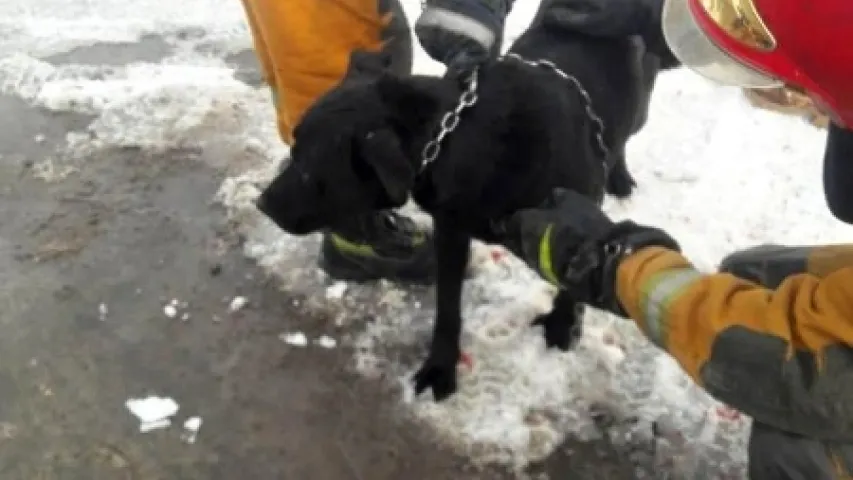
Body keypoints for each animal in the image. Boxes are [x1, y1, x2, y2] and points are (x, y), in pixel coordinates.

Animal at [256, 13, 668, 400]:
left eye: (311, 168)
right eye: (293, 148)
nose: (261, 204)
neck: (458, 139)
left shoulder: (577, 211)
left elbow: (573, 271)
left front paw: (562, 325)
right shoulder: (451, 231)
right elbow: (448, 308)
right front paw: (440, 365)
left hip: (638, 108)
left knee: (624, 139)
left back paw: (619, 176)